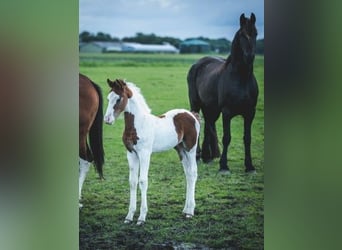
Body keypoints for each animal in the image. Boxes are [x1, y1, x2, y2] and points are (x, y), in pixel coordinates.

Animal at [104, 79, 200, 226]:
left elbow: (143, 181)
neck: (138, 124)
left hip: (191, 149)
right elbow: (132, 182)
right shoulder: (131, 154)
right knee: (188, 175)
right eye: (108, 98)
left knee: (193, 173)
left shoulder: (144, 154)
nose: (107, 119)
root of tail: (192, 114)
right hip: (181, 150)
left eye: (119, 98)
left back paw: (190, 212)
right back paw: (185, 210)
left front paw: (141, 218)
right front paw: (129, 217)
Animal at [187, 12, 260, 172]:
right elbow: (227, 138)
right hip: (196, 104)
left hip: (211, 109)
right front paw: (224, 166)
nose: (249, 56)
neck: (241, 78)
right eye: (242, 35)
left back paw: (207, 156)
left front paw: (249, 166)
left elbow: (248, 138)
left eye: (256, 33)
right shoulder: (227, 112)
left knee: (208, 125)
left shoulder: (250, 113)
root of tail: (198, 63)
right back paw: (197, 156)